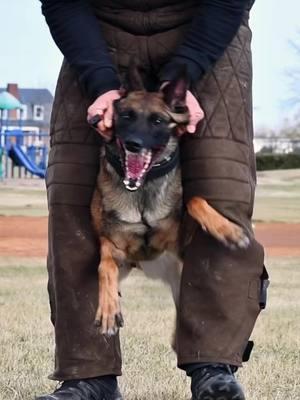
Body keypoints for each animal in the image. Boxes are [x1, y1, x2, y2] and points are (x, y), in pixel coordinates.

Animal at [89, 65, 248, 334]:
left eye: (158, 121)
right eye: (126, 116)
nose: (133, 144)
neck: (142, 193)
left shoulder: (181, 242)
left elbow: (194, 199)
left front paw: (230, 231)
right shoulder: (113, 248)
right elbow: (105, 267)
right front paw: (109, 310)